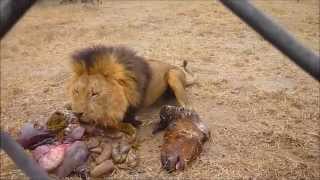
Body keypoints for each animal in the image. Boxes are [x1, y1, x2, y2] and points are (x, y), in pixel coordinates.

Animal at [65, 45, 195, 134]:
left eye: (94, 93)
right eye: (76, 91)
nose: (77, 114)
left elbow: (116, 122)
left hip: (173, 75)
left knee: (187, 106)